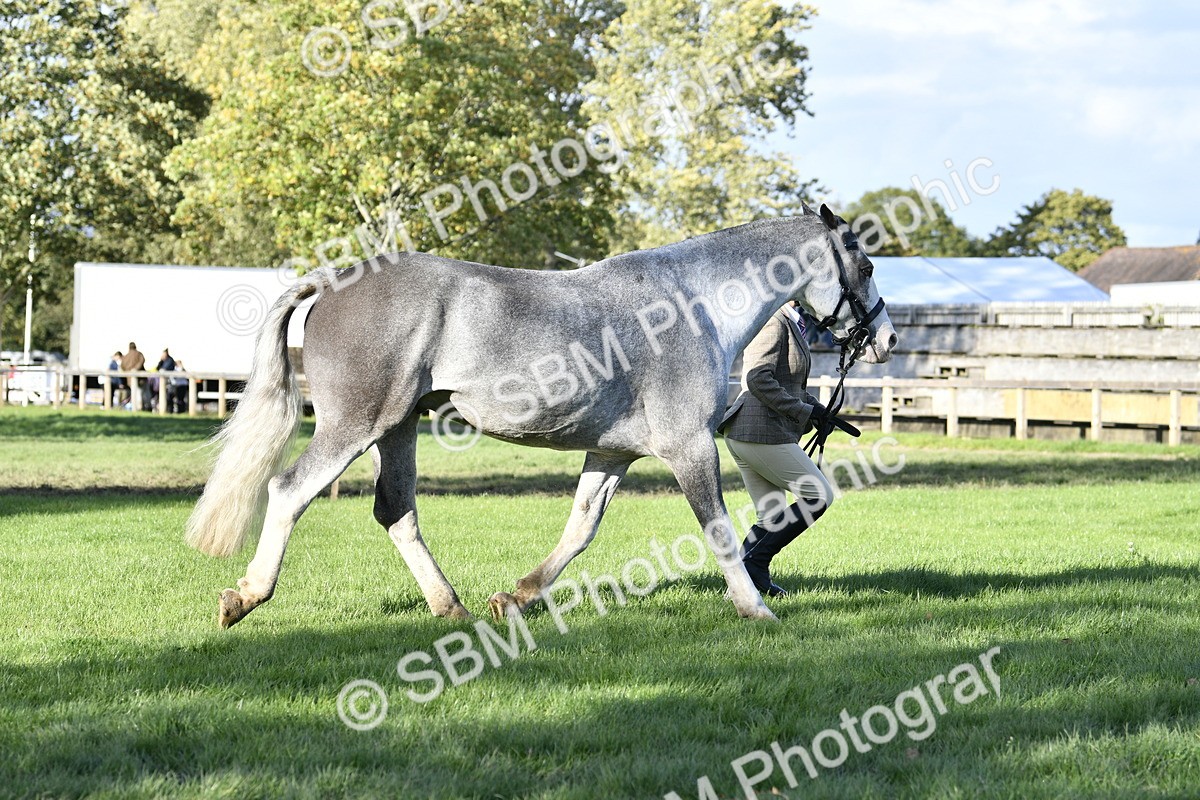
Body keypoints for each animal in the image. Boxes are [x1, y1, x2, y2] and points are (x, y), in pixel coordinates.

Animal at [186, 202, 897, 628]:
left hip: (398, 428)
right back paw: (245, 597)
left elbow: (580, 527)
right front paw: (756, 610)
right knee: (289, 491)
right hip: (354, 426)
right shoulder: (690, 447)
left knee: (397, 512)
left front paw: (517, 596)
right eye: (864, 264)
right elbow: (719, 530)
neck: (693, 305)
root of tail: (333, 280)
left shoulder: (612, 453)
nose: (886, 338)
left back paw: (452, 608)